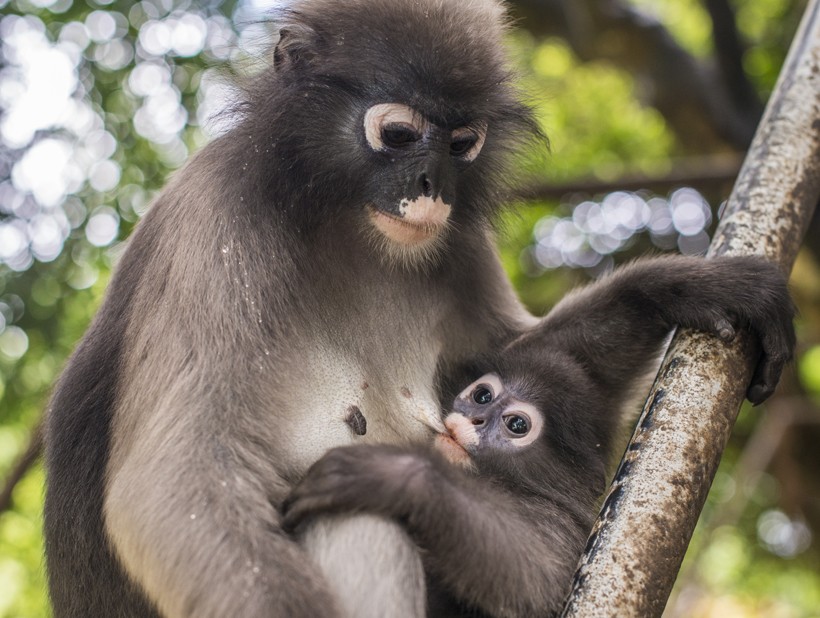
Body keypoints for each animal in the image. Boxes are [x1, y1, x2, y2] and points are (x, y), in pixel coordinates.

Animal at [44, 1, 796, 616]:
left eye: (463, 143)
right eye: (401, 134)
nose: (433, 184)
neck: (344, 224)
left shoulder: (457, 240)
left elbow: (532, 350)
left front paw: (694, 285)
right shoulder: (218, 208)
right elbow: (173, 484)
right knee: (357, 523)